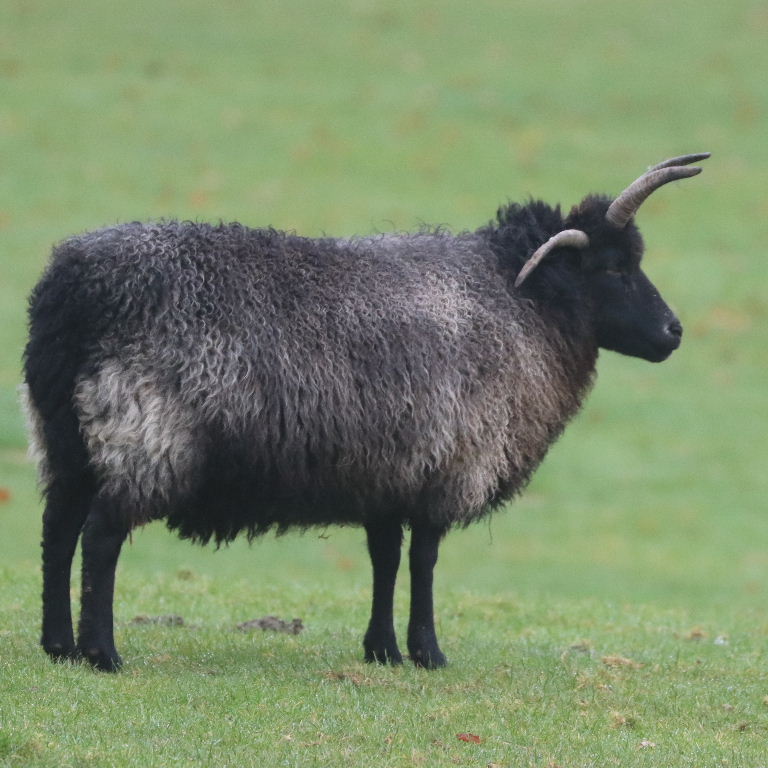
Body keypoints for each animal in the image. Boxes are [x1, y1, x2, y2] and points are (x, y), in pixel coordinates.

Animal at [22, 153, 708, 671]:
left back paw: (58, 646)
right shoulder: (448, 465)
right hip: (145, 434)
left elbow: (385, 557)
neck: (522, 302)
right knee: (100, 536)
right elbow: (424, 561)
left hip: (65, 435)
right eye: (615, 268)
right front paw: (428, 653)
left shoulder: (391, 470)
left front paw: (381, 650)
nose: (673, 333)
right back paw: (102, 653)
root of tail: (73, 292)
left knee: (58, 529)